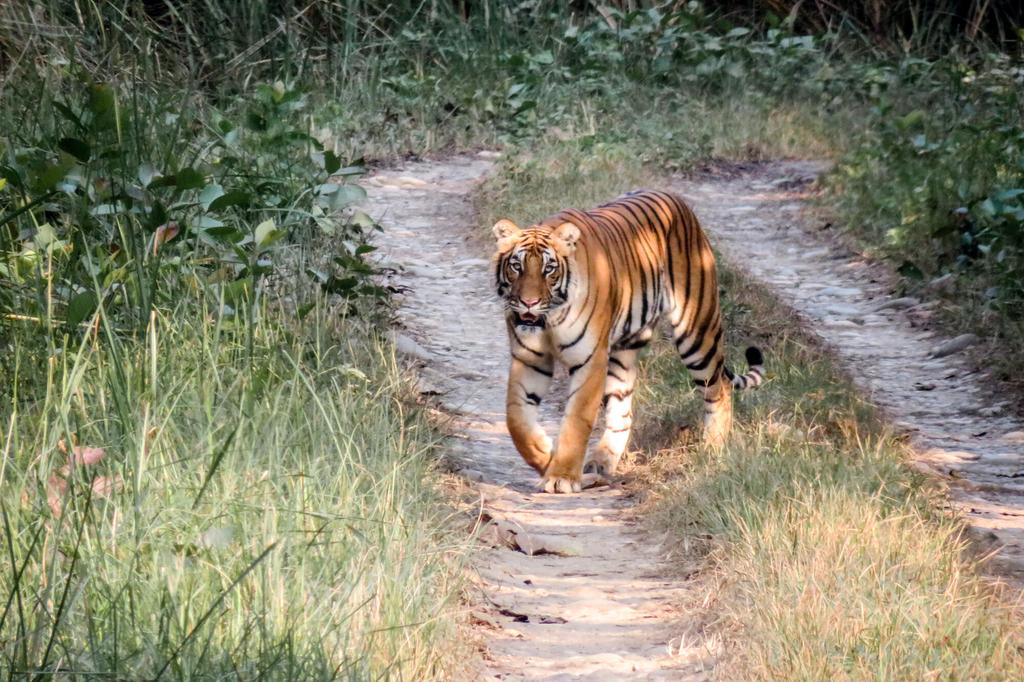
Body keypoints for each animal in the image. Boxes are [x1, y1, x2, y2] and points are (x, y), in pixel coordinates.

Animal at [491, 189, 764, 494]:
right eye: (516, 266)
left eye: (549, 270)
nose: (529, 302)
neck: (550, 319)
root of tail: (677, 199)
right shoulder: (529, 359)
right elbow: (516, 420)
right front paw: (545, 455)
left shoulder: (590, 361)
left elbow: (576, 421)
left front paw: (561, 476)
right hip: (623, 353)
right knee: (623, 412)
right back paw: (601, 462)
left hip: (696, 331)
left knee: (720, 387)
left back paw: (714, 448)